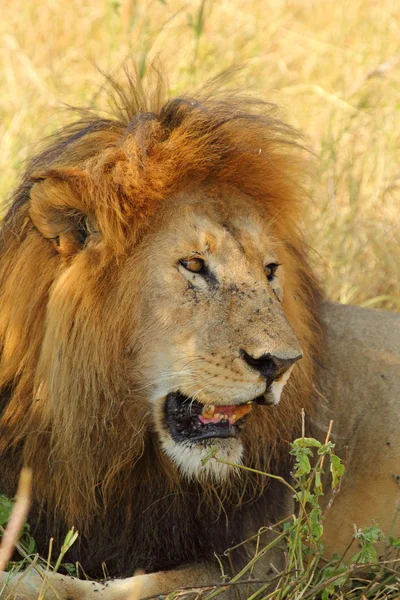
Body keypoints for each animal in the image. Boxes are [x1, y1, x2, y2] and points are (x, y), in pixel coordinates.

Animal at [0, 76, 398, 600]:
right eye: (193, 264)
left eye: (270, 270)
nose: (281, 364)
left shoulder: (260, 566)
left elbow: (112, 588)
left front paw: (24, 581)